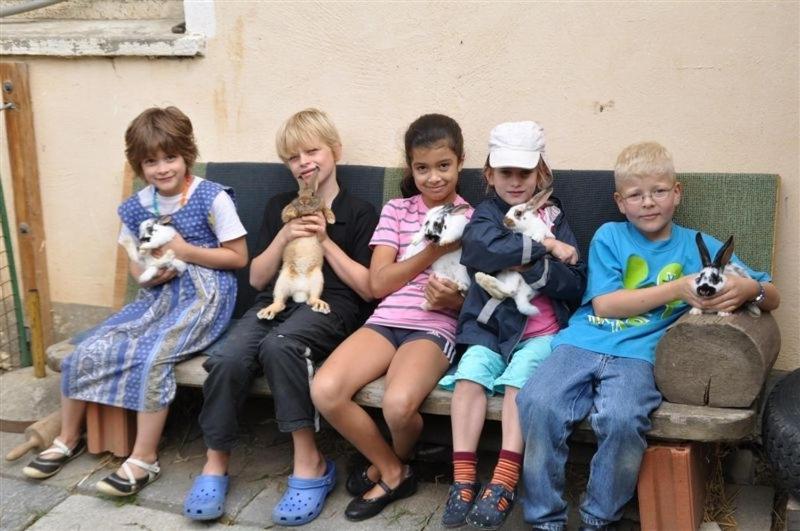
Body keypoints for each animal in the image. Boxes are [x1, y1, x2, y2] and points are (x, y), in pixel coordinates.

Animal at [255, 165, 332, 320]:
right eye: (298, 194)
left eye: (313, 194)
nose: (303, 201)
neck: (306, 213)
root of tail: (299, 292)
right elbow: (288, 210)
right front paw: (290, 214)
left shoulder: (321, 207)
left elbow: (326, 209)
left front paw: (332, 218)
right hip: (282, 282)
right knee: (280, 303)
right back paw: (267, 312)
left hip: (317, 280)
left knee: (311, 299)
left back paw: (320, 305)